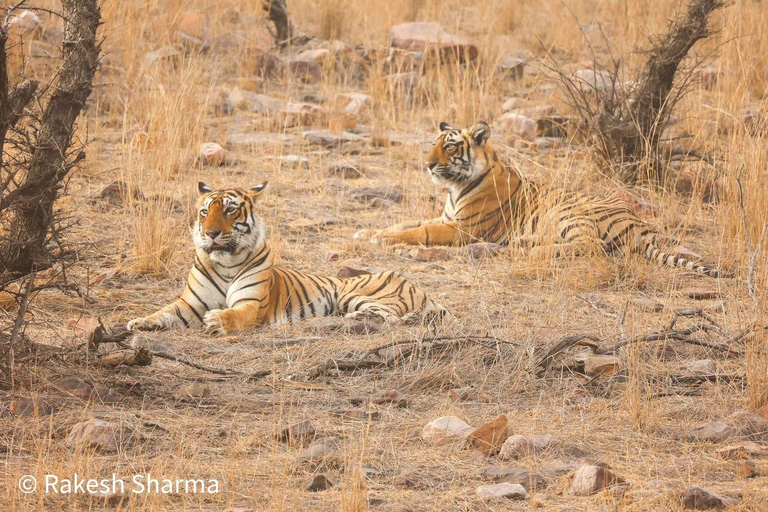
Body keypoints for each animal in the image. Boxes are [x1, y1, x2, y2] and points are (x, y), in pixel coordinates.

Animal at [127, 182, 448, 336]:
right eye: (205, 212)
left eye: (230, 210)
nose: (211, 233)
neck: (226, 263)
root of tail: (417, 286)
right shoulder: (190, 304)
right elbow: (163, 312)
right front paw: (138, 322)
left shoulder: (251, 304)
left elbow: (234, 314)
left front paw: (217, 320)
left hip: (357, 293)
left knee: (392, 316)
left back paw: (356, 319)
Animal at [354, 121, 723, 278]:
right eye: (434, 143)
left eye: (449, 146)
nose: (428, 164)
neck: (456, 187)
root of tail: (645, 230)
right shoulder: (446, 219)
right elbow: (408, 222)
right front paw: (366, 232)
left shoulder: (462, 228)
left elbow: (419, 232)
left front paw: (383, 240)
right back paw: (523, 243)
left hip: (570, 212)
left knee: (589, 247)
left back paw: (525, 248)